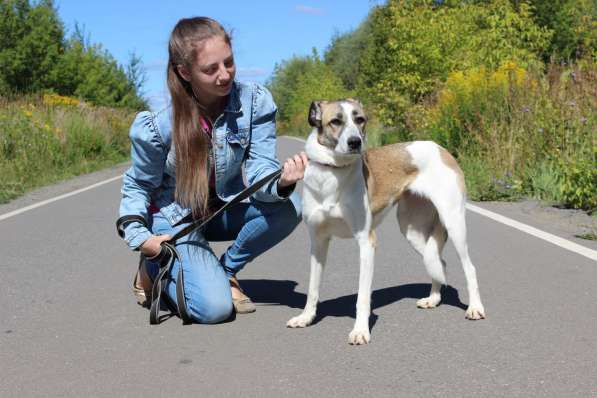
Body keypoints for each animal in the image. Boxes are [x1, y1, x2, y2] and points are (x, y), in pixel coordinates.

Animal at [286, 99, 486, 346]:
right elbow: (313, 288)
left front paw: (360, 330)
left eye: (360, 119)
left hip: (453, 222)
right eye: (335, 121)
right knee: (440, 263)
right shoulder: (318, 243)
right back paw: (433, 299)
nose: (355, 142)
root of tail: (440, 148)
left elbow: (363, 296)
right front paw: (306, 317)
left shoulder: (366, 242)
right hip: (412, 231)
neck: (332, 172)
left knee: (469, 268)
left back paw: (475, 308)